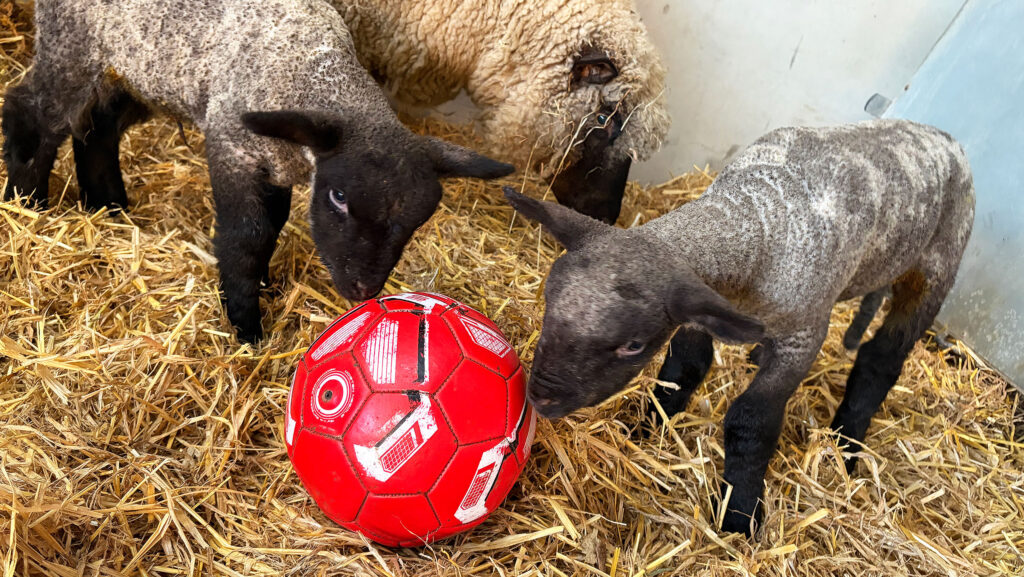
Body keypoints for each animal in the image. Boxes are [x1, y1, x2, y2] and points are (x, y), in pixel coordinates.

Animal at [2, 0, 513, 343]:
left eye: (415, 223)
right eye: (339, 198)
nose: (363, 289)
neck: (311, 73)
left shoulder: (276, 168)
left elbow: (272, 229)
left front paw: (263, 287)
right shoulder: (233, 148)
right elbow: (247, 237)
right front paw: (246, 325)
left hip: (139, 69)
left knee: (97, 128)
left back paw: (107, 206)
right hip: (73, 48)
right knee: (32, 111)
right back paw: (27, 201)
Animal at [503, 118, 975, 536]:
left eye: (632, 345)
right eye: (548, 302)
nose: (541, 397)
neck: (757, 213)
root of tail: (944, 136)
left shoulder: (804, 335)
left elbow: (752, 419)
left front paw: (740, 514)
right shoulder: (704, 307)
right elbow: (682, 370)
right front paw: (646, 428)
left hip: (937, 264)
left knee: (882, 359)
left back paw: (846, 446)